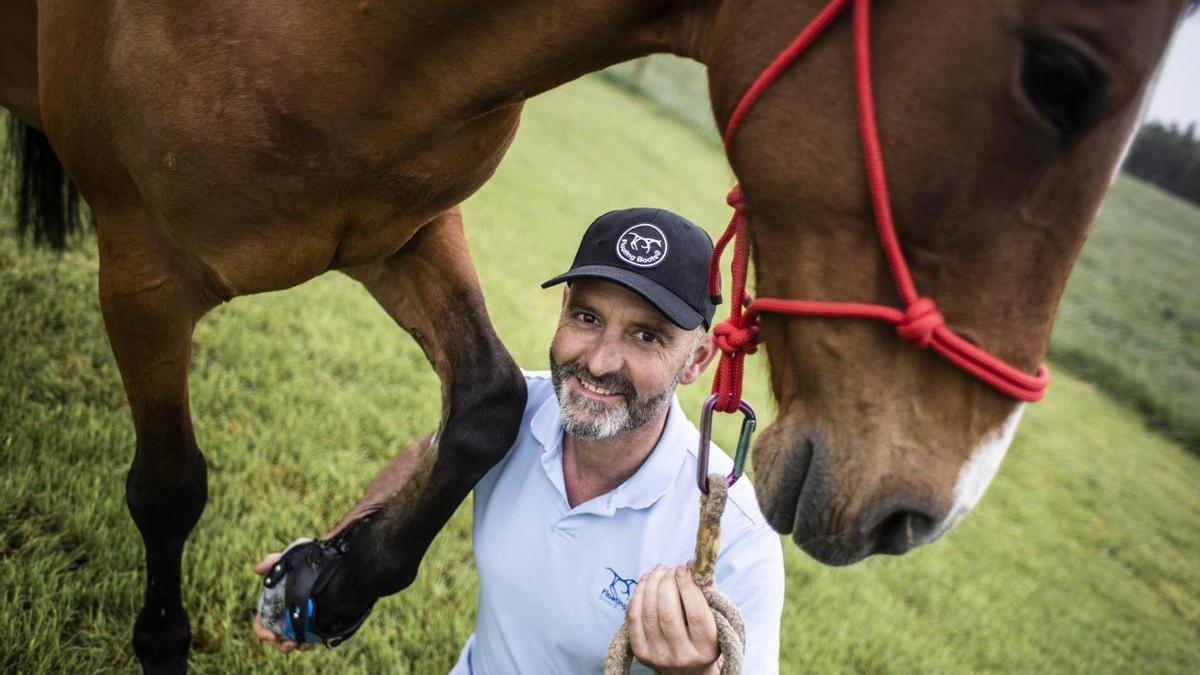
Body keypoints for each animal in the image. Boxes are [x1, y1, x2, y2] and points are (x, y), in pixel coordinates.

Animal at [2, 0, 1190, 667]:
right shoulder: (142, 273)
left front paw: (330, 584)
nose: (922, 510)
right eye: (1059, 78)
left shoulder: (400, 231)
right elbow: (169, 488)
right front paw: (164, 644)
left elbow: (484, 403)